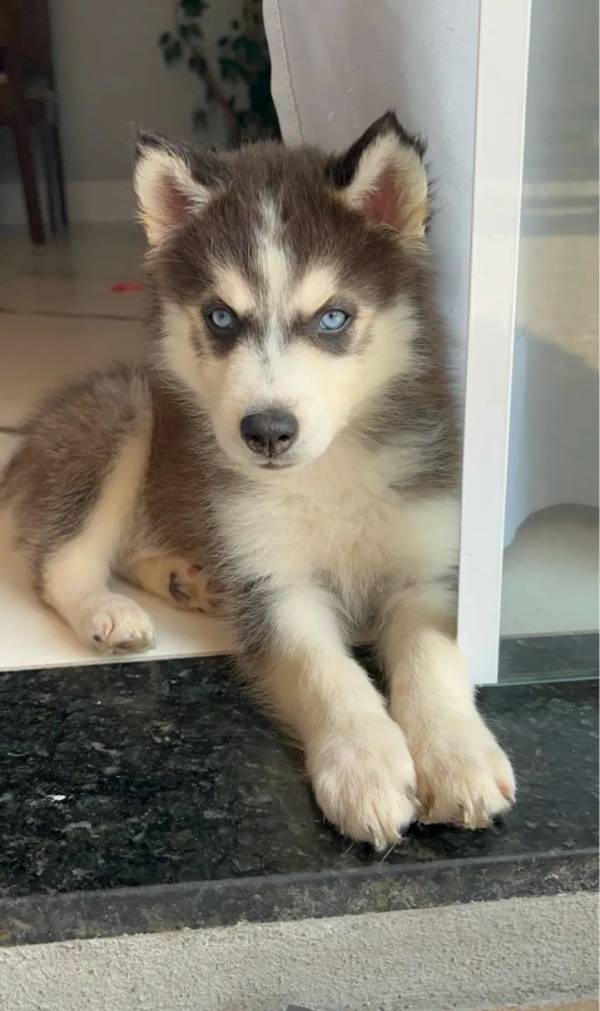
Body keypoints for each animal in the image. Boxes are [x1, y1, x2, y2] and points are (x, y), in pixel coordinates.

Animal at [1, 112, 515, 847]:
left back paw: (183, 579)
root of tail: (36, 431)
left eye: (333, 316)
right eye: (220, 316)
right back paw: (109, 611)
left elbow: (433, 656)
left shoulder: (429, 569)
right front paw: (364, 764)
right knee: (60, 565)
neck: (329, 473)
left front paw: (456, 754)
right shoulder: (274, 586)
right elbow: (326, 671)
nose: (266, 430)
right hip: (127, 410)